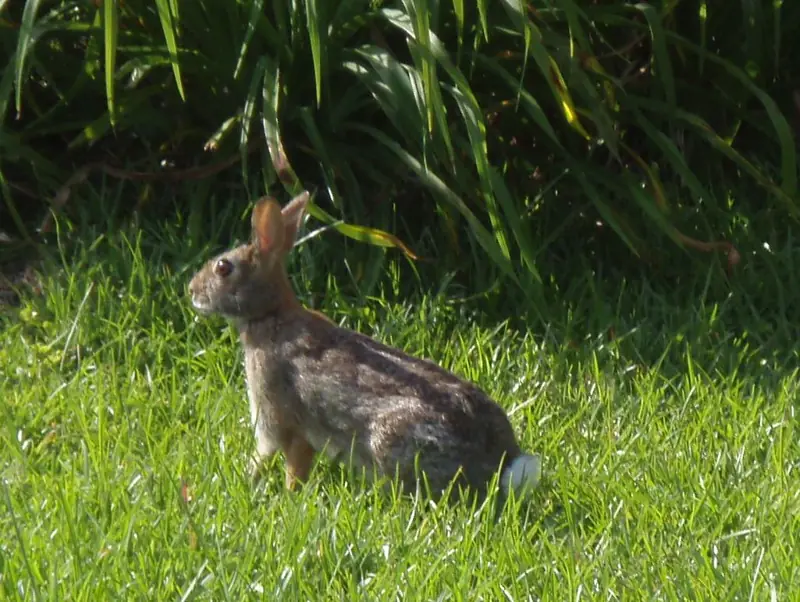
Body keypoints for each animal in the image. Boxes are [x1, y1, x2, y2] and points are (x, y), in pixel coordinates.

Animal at [188, 191, 542, 500]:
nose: (191, 290)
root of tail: (501, 465)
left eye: (223, 268)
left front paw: (271, 490)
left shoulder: (278, 419)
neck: (270, 314)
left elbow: (276, 458)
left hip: (395, 443)